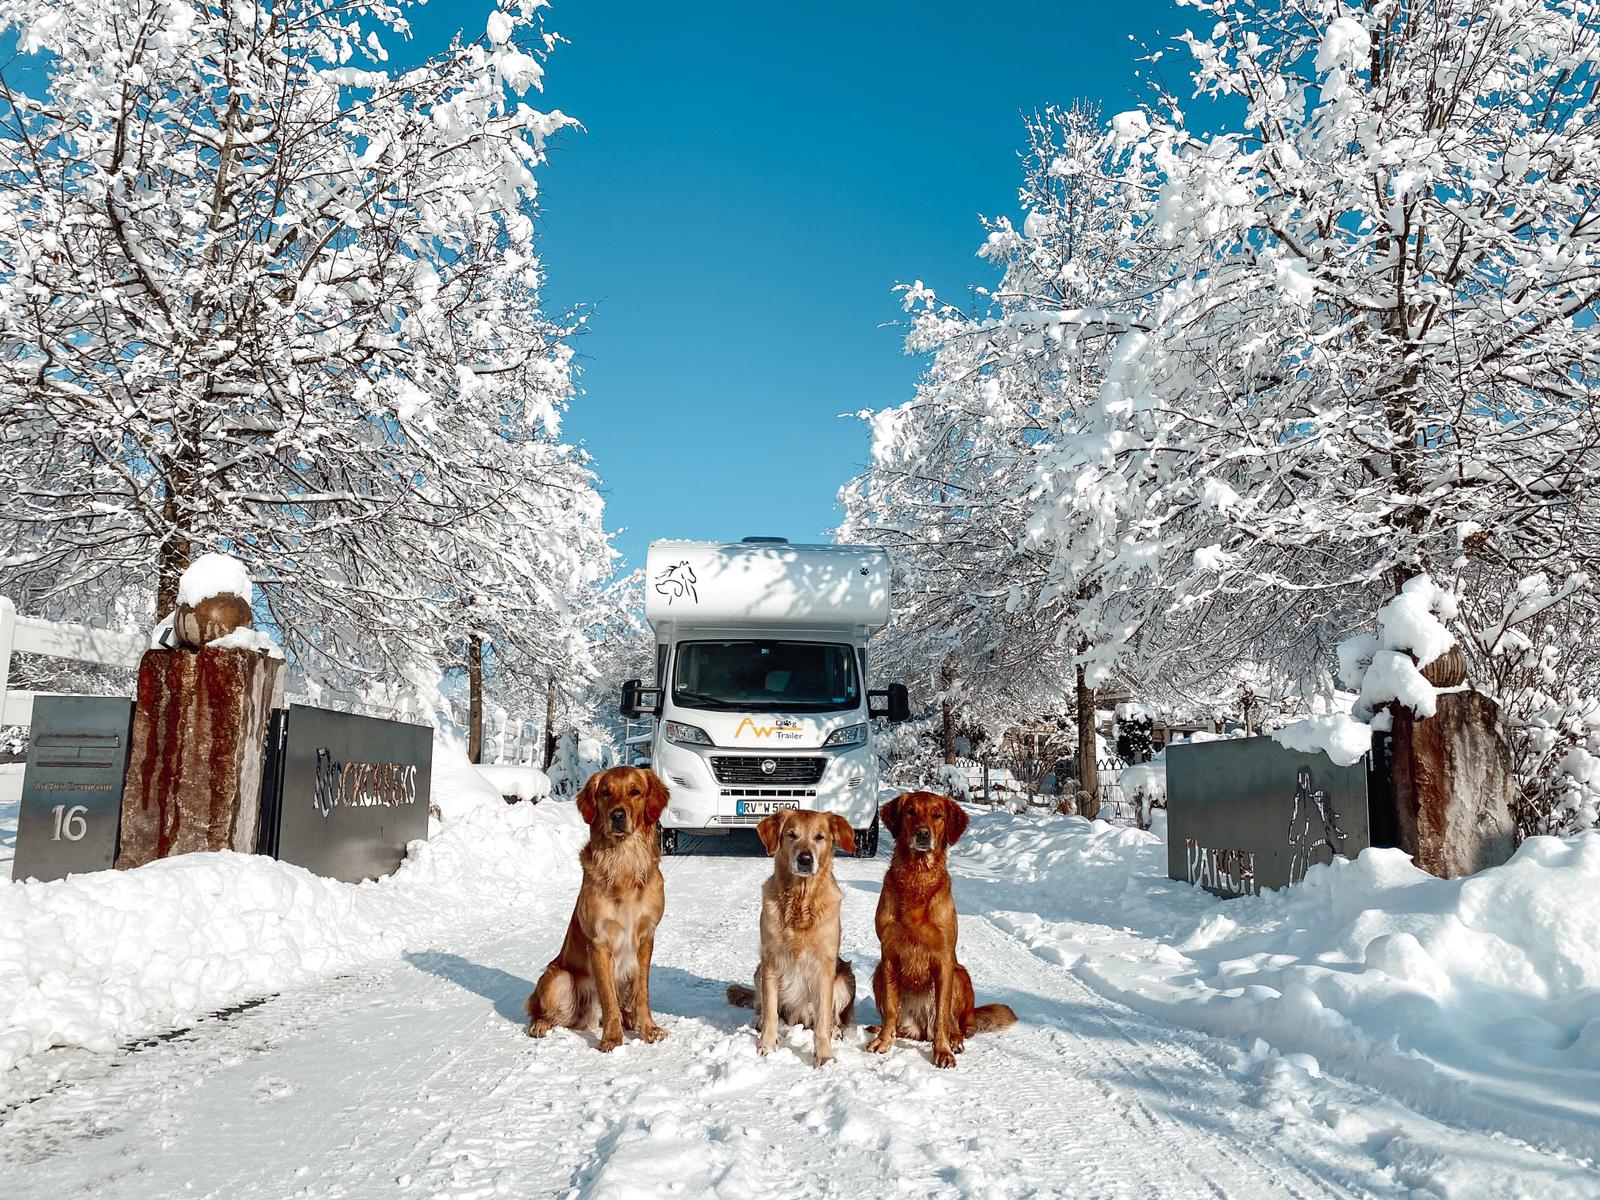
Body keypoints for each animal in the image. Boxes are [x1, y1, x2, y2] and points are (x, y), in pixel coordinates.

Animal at [524, 771, 668, 1049]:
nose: (617, 815)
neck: (623, 862)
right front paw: (612, 1038)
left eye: (635, 791)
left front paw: (648, 1029)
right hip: (557, 978)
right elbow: (607, 997)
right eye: (606, 792)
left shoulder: (646, 938)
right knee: (545, 1012)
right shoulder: (599, 943)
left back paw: (630, 1020)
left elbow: (642, 994)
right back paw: (540, 1024)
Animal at [729, 812, 857, 1068]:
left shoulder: (825, 966)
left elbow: (822, 1020)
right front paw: (767, 1045)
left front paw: (824, 1055)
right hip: (759, 972)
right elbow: (770, 1011)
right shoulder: (770, 961)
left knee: (830, 1017)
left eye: (819, 837)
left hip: (846, 977)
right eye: (791, 835)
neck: (801, 899)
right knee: (767, 1008)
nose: (805, 859)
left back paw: (834, 1030)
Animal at [870, 793, 1017, 1068]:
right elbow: (891, 1008)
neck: (917, 877)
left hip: (960, 974)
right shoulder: (889, 955)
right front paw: (884, 1042)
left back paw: (955, 1040)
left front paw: (943, 1051)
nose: (923, 833)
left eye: (938, 815)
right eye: (910, 811)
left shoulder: (944, 958)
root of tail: (920, 1029)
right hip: (877, 973)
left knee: (958, 1026)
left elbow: (941, 1014)